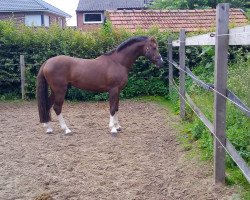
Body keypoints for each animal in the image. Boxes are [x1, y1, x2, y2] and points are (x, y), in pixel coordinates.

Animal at [35, 36, 164, 136]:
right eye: (154, 47)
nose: (161, 62)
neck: (118, 62)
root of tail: (47, 62)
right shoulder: (113, 90)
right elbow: (112, 108)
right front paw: (113, 129)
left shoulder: (118, 91)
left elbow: (116, 107)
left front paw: (117, 126)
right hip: (60, 90)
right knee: (57, 108)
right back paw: (66, 129)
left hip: (54, 90)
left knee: (47, 105)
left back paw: (49, 128)